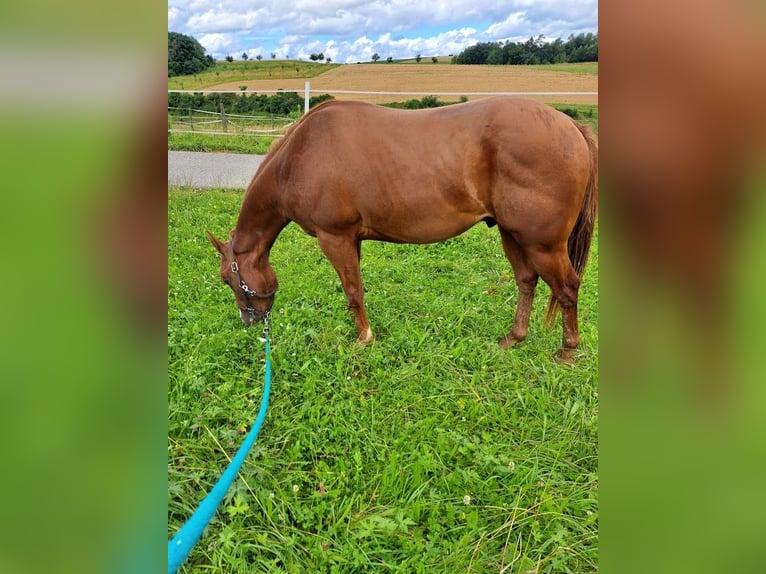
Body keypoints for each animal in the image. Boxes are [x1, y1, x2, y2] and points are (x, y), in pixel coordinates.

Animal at [208, 96, 600, 362]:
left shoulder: (334, 238)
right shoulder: (352, 239)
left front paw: (364, 339)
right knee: (526, 281)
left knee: (567, 288)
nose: (249, 320)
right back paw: (513, 339)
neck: (297, 158)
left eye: (228, 279)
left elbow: (353, 290)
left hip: (544, 245)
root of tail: (571, 127)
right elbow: (356, 290)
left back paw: (567, 351)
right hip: (513, 235)